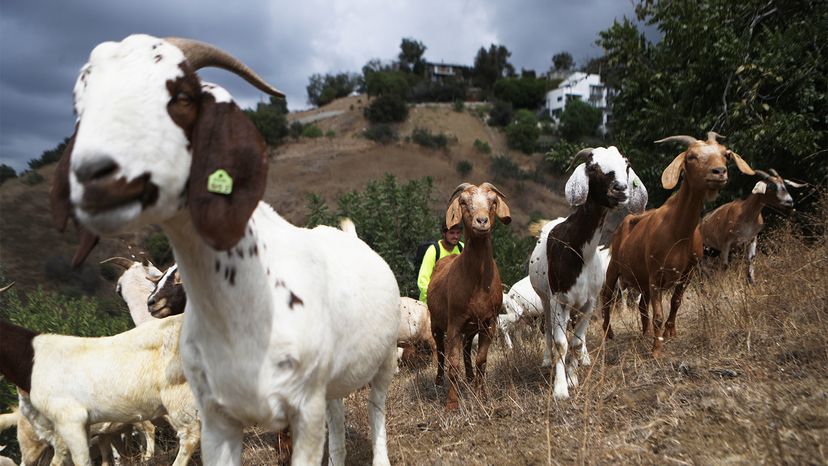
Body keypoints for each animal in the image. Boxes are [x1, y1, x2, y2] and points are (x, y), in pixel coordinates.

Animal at [51, 33, 402, 466]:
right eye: (80, 107)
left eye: (182, 97)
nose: (94, 175)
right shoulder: (218, 420)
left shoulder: (303, 408)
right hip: (331, 382)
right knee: (337, 415)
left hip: (384, 359)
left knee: (376, 408)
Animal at [426, 182, 512, 412]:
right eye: (463, 201)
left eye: (493, 201)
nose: (481, 221)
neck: (478, 282)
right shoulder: (454, 323)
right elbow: (453, 364)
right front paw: (452, 404)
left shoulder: (489, 323)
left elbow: (481, 360)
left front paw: (482, 396)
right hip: (436, 323)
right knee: (440, 352)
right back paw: (439, 381)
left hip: (472, 326)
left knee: (466, 349)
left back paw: (470, 377)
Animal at [532, 147, 648, 398]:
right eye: (593, 167)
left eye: (626, 165)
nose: (620, 189)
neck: (579, 250)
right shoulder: (559, 300)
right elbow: (561, 343)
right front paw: (560, 388)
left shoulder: (589, 302)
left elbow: (576, 342)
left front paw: (573, 378)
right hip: (546, 299)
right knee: (549, 330)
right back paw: (547, 360)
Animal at [600, 133, 752, 354]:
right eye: (691, 156)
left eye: (726, 154)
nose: (719, 172)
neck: (677, 232)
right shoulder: (655, 272)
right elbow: (658, 315)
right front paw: (656, 350)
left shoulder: (688, 272)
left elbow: (676, 302)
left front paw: (670, 332)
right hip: (614, 267)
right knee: (607, 297)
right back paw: (608, 334)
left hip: (641, 279)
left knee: (641, 304)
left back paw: (645, 333)